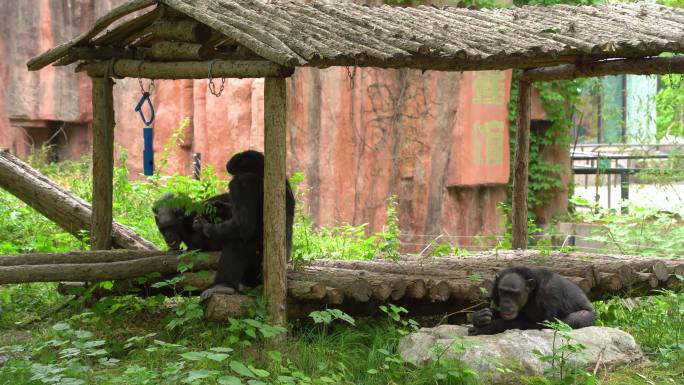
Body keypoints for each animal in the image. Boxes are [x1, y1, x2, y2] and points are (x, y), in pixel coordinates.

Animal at [195, 149, 296, 296]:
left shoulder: (243, 183)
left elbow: (242, 226)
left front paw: (205, 227)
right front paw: (217, 207)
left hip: (256, 270)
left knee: (237, 242)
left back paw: (223, 285)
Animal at [468, 266, 596, 334]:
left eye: (514, 293)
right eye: (503, 291)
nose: (506, 302)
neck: (531, 293)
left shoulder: (550, 295)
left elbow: (543, 325)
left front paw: (489, 326)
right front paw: (479, 317)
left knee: (577, 318)